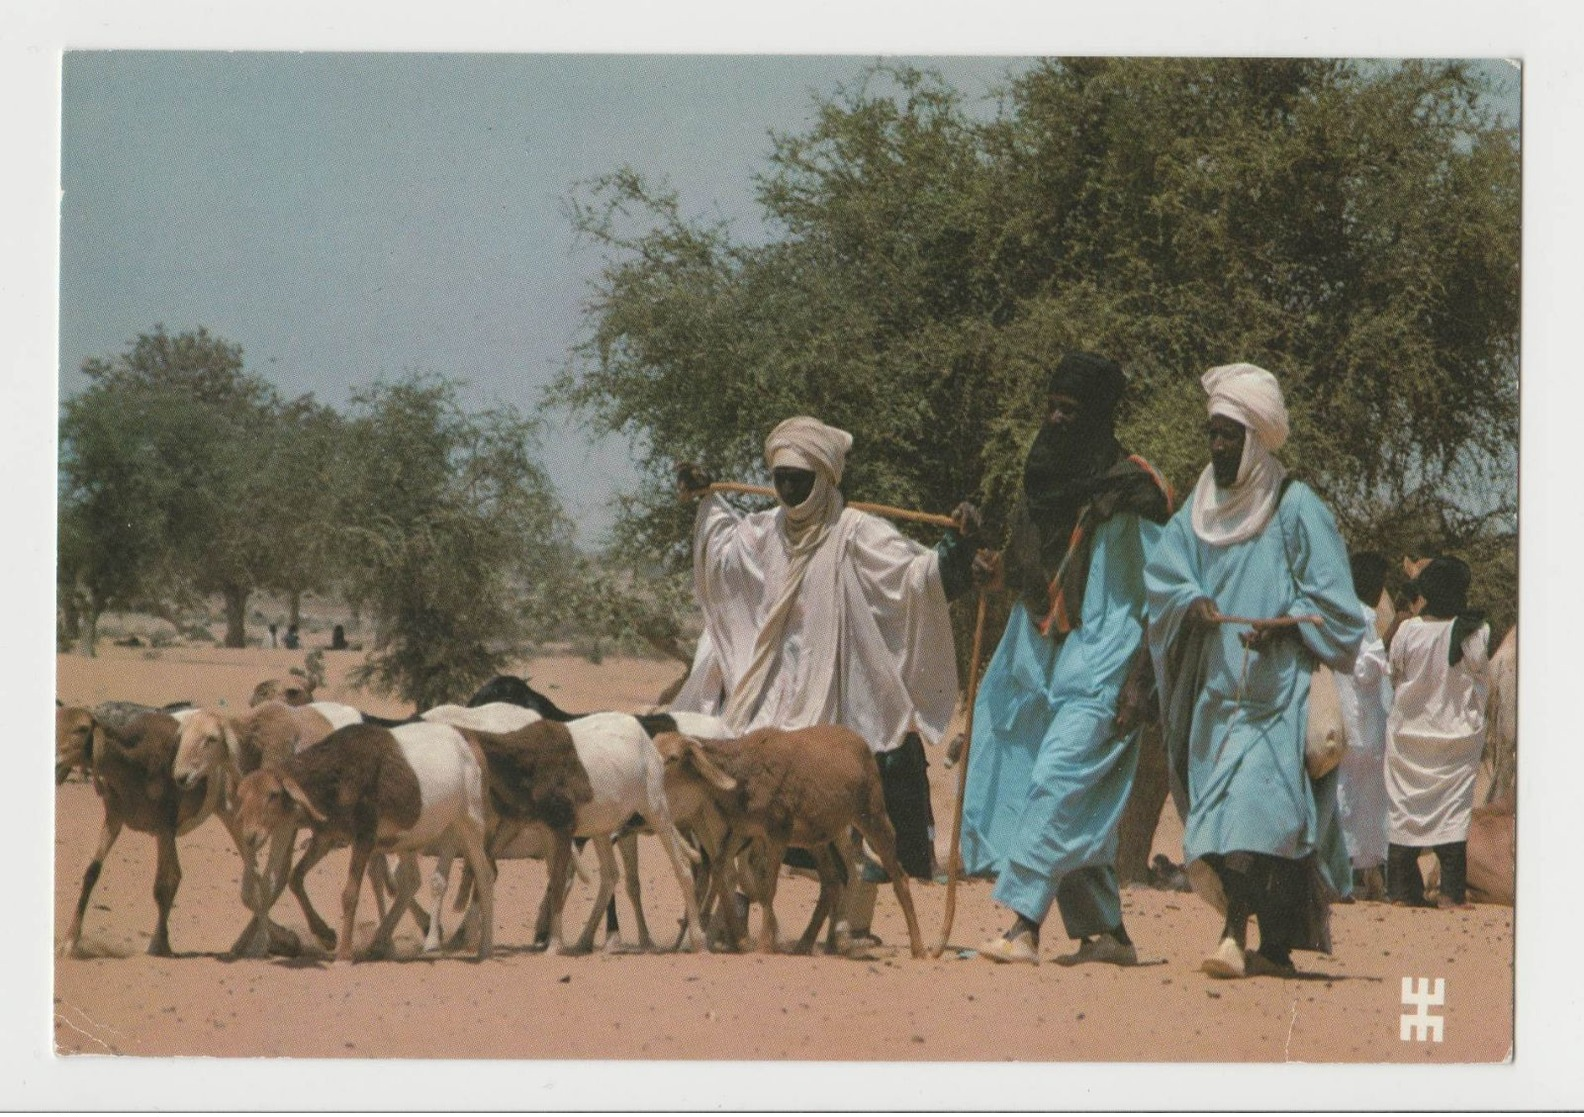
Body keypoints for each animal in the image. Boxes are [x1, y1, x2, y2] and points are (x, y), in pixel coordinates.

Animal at [234, 719, 491, 963]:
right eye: (242, 796)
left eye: (273, 794)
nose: (250, 836)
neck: (339, 772)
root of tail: (467, 746)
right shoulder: (327, 836)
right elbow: (296, 878)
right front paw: (326, 935)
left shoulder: (364, 838)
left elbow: (350, 893)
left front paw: (344, 954)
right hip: (409, 838)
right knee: (410, 882)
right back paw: (378, 943)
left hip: (469, 823)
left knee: (484, 875)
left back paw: (484, 947)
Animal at [652, 722, 925, 956]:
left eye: (673, 757)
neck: (744, 773)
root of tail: (860, 740)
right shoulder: (742, 830)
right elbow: (721, 871)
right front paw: (741, 940)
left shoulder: (777, 833)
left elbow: (767, 889)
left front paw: (764, 945)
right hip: (817, 837)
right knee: (831, 882)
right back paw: (807, 943)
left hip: (872, 814)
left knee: (898, 876)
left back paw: (918, 948)